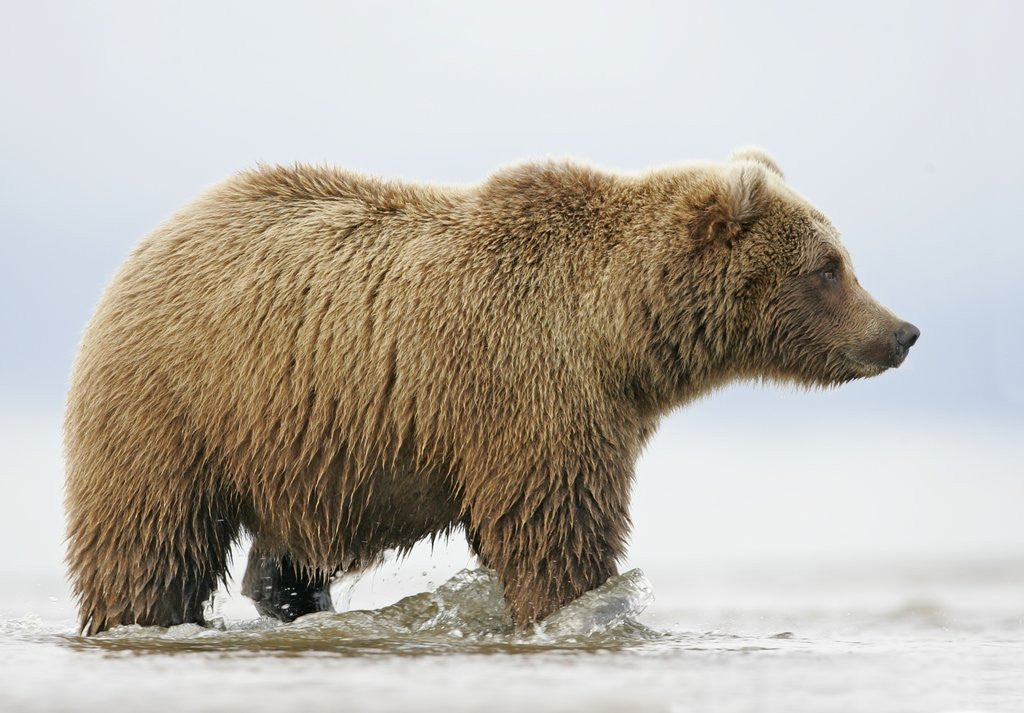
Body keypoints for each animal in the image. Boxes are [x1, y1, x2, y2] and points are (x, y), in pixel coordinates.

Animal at [64, 148, 919, 634]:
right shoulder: (535, 391)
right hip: (178, 403)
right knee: (149, 541)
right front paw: (579, 606)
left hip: (289, 445)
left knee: (280, 561)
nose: (901, 331)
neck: (622, 337)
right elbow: (556, 533)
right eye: (829, 265)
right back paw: (143, 616)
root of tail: (145, 245)